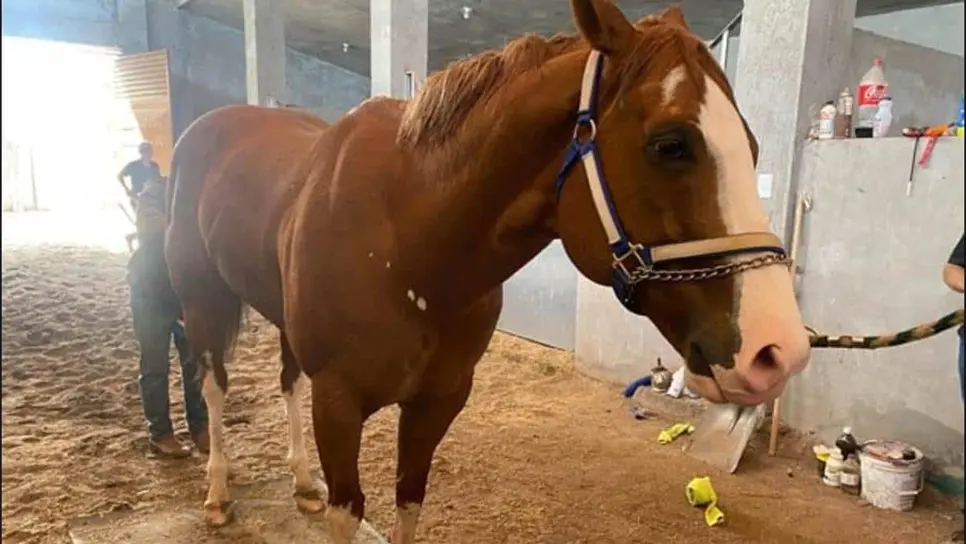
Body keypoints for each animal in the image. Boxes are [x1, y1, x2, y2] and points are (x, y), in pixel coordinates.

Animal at [164, 1, 812, 542]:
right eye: (670, 144)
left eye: (752, 146)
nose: (778, 350)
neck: (409, 247)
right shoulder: (339, 406)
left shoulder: (436, 404)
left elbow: (408, 503)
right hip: (200, 298)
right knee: (214, 384)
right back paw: (217, 495)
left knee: (286, 380)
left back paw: (301, 484)